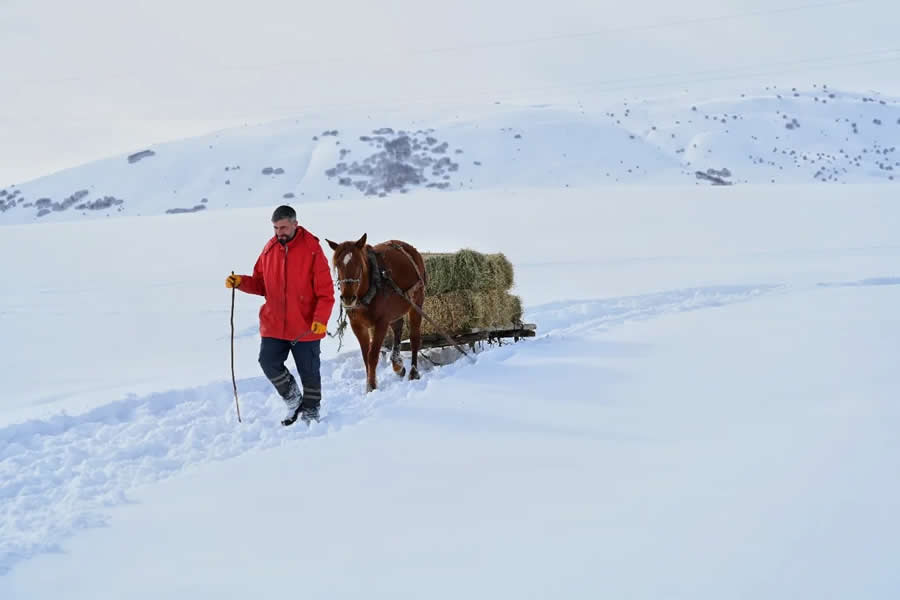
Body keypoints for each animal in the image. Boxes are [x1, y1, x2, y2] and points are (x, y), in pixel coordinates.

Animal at [326, 232, 426, 392]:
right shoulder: (358, 326)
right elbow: (365, 356)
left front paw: (371, 387)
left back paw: (413, 372)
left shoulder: (381, 323)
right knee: (398, 327)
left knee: (414, 337)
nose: (348, 298)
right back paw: (397, 364)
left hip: (416, 302)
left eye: (359, 265)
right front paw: (369, 384)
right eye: (338, 265)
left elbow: (372, 356)